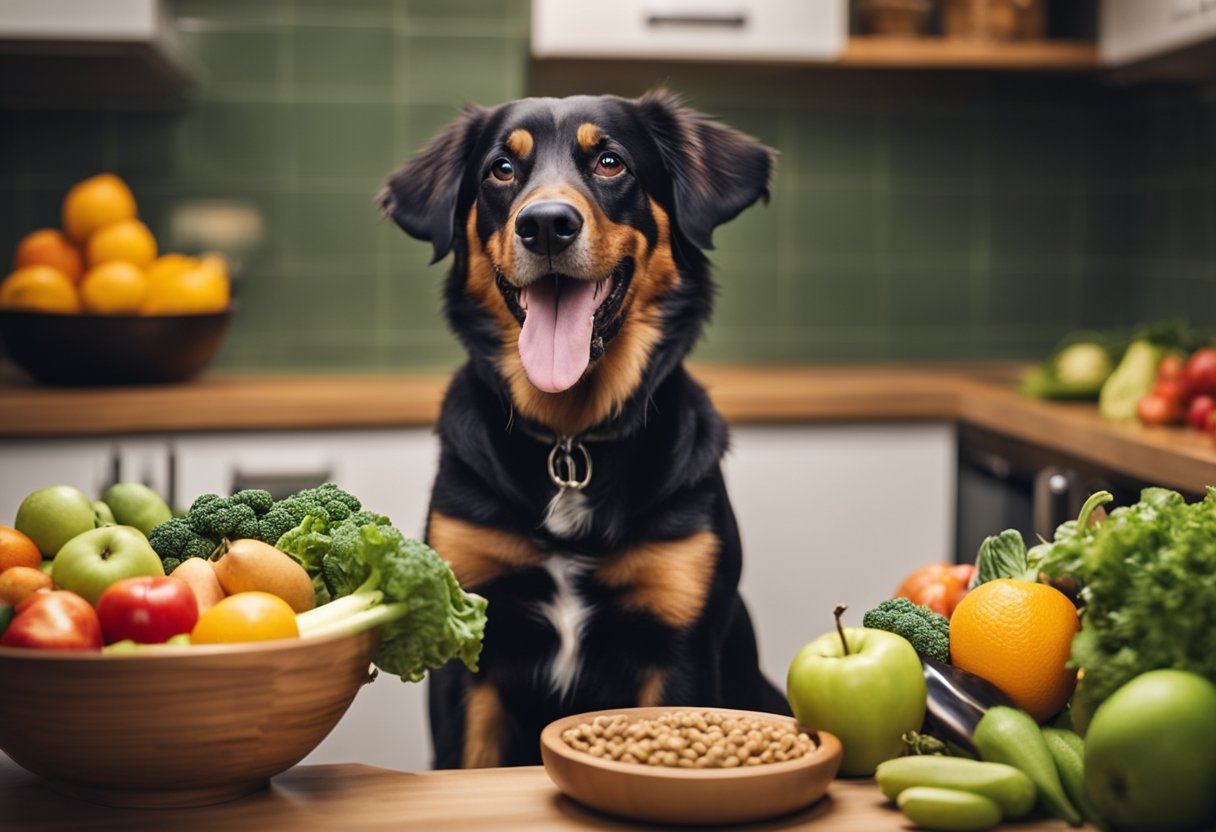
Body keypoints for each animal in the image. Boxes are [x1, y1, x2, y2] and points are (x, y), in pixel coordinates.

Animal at [379, 89, 787, 768]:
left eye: (610, 162)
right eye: (501, 169)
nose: (545, 224)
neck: (570, 441)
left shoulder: (679, 643)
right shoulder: (470, 642)